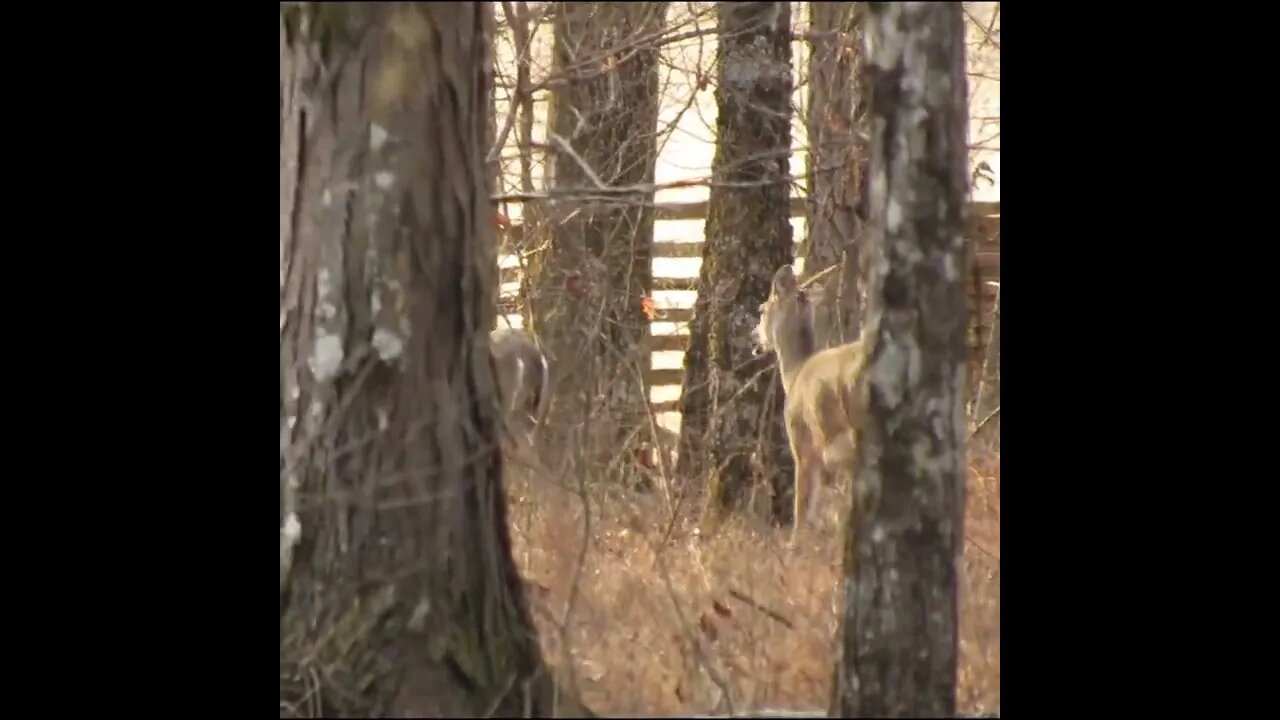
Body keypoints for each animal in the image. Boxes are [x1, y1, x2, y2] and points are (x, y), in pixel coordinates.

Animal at [754, 264, 868, 546]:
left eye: (762, 309)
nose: (756, 338)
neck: (794, 373)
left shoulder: (803, 444)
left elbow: (803, 505)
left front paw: (795, 545)